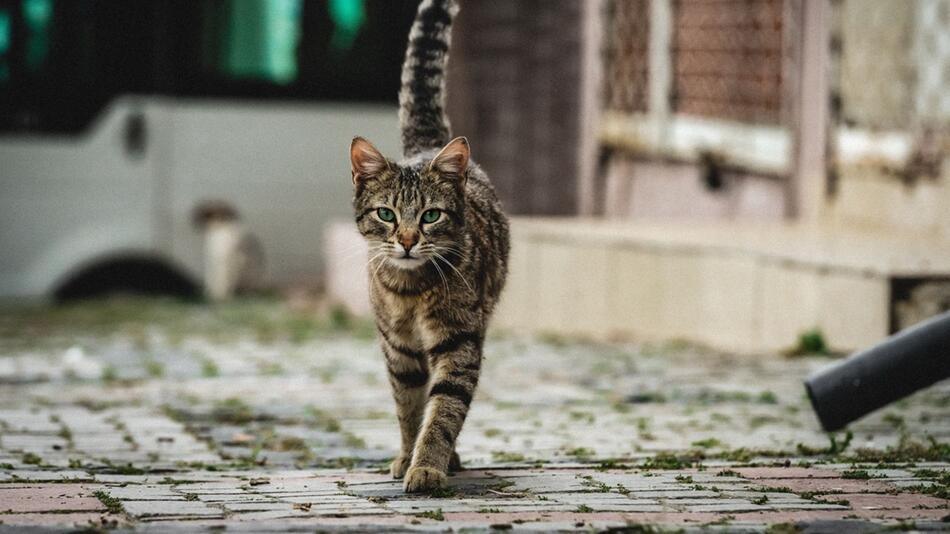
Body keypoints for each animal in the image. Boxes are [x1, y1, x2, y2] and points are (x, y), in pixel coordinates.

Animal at [350, 0, 510, 494]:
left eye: (430, 216)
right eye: (386, 214)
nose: (406, 240)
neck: (410, 289)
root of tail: (426, 146)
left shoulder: (460, 342)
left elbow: (444, 409)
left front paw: (427, 465)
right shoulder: (398, 349)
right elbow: (409, 406)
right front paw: (408, 456)